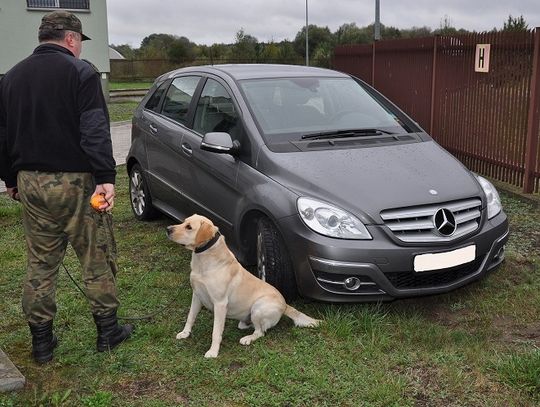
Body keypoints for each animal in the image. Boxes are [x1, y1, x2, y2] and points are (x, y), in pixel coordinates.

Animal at [168, 215, 320, 358]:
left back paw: (248, 338)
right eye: (183, 222)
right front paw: (185, 333)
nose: (168, 229)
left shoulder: (220, 304)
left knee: (260, 332)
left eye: (189, 227)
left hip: (258, 307)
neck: (204, 260)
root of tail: (285, 305)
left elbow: (216, 331)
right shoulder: (196, 296)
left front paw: (213, 352)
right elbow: (190, 317)